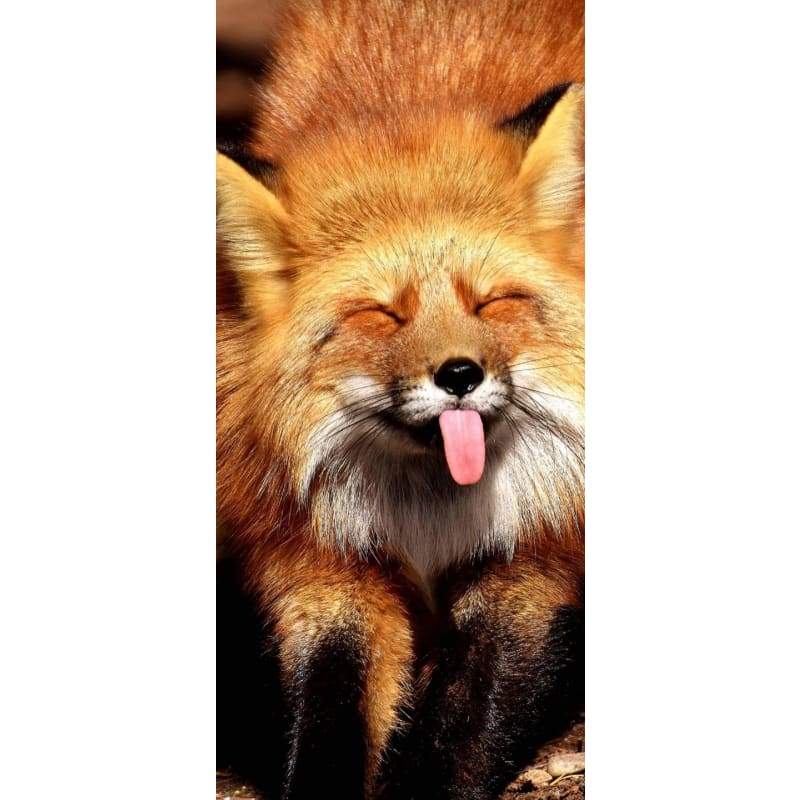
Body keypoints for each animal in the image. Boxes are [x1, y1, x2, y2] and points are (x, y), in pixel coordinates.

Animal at [216, 1, 584, 798]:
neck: (431, 512)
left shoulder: (536, 551)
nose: (460, 375)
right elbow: (332, 704)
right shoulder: (323, 561)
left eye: (491, 302)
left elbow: (469, 716)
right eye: (381, 314)